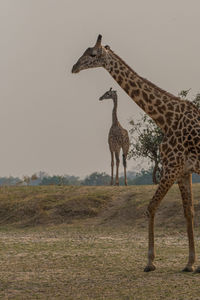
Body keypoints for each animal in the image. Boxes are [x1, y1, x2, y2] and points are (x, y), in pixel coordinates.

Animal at [72, 34, 200, 274]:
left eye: (92, 54)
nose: (74, 67)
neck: (165, 118)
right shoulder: (182, 170)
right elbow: (188, 212)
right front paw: (190, 263)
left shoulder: (171, 167)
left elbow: (150, 208)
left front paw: (150, 262)